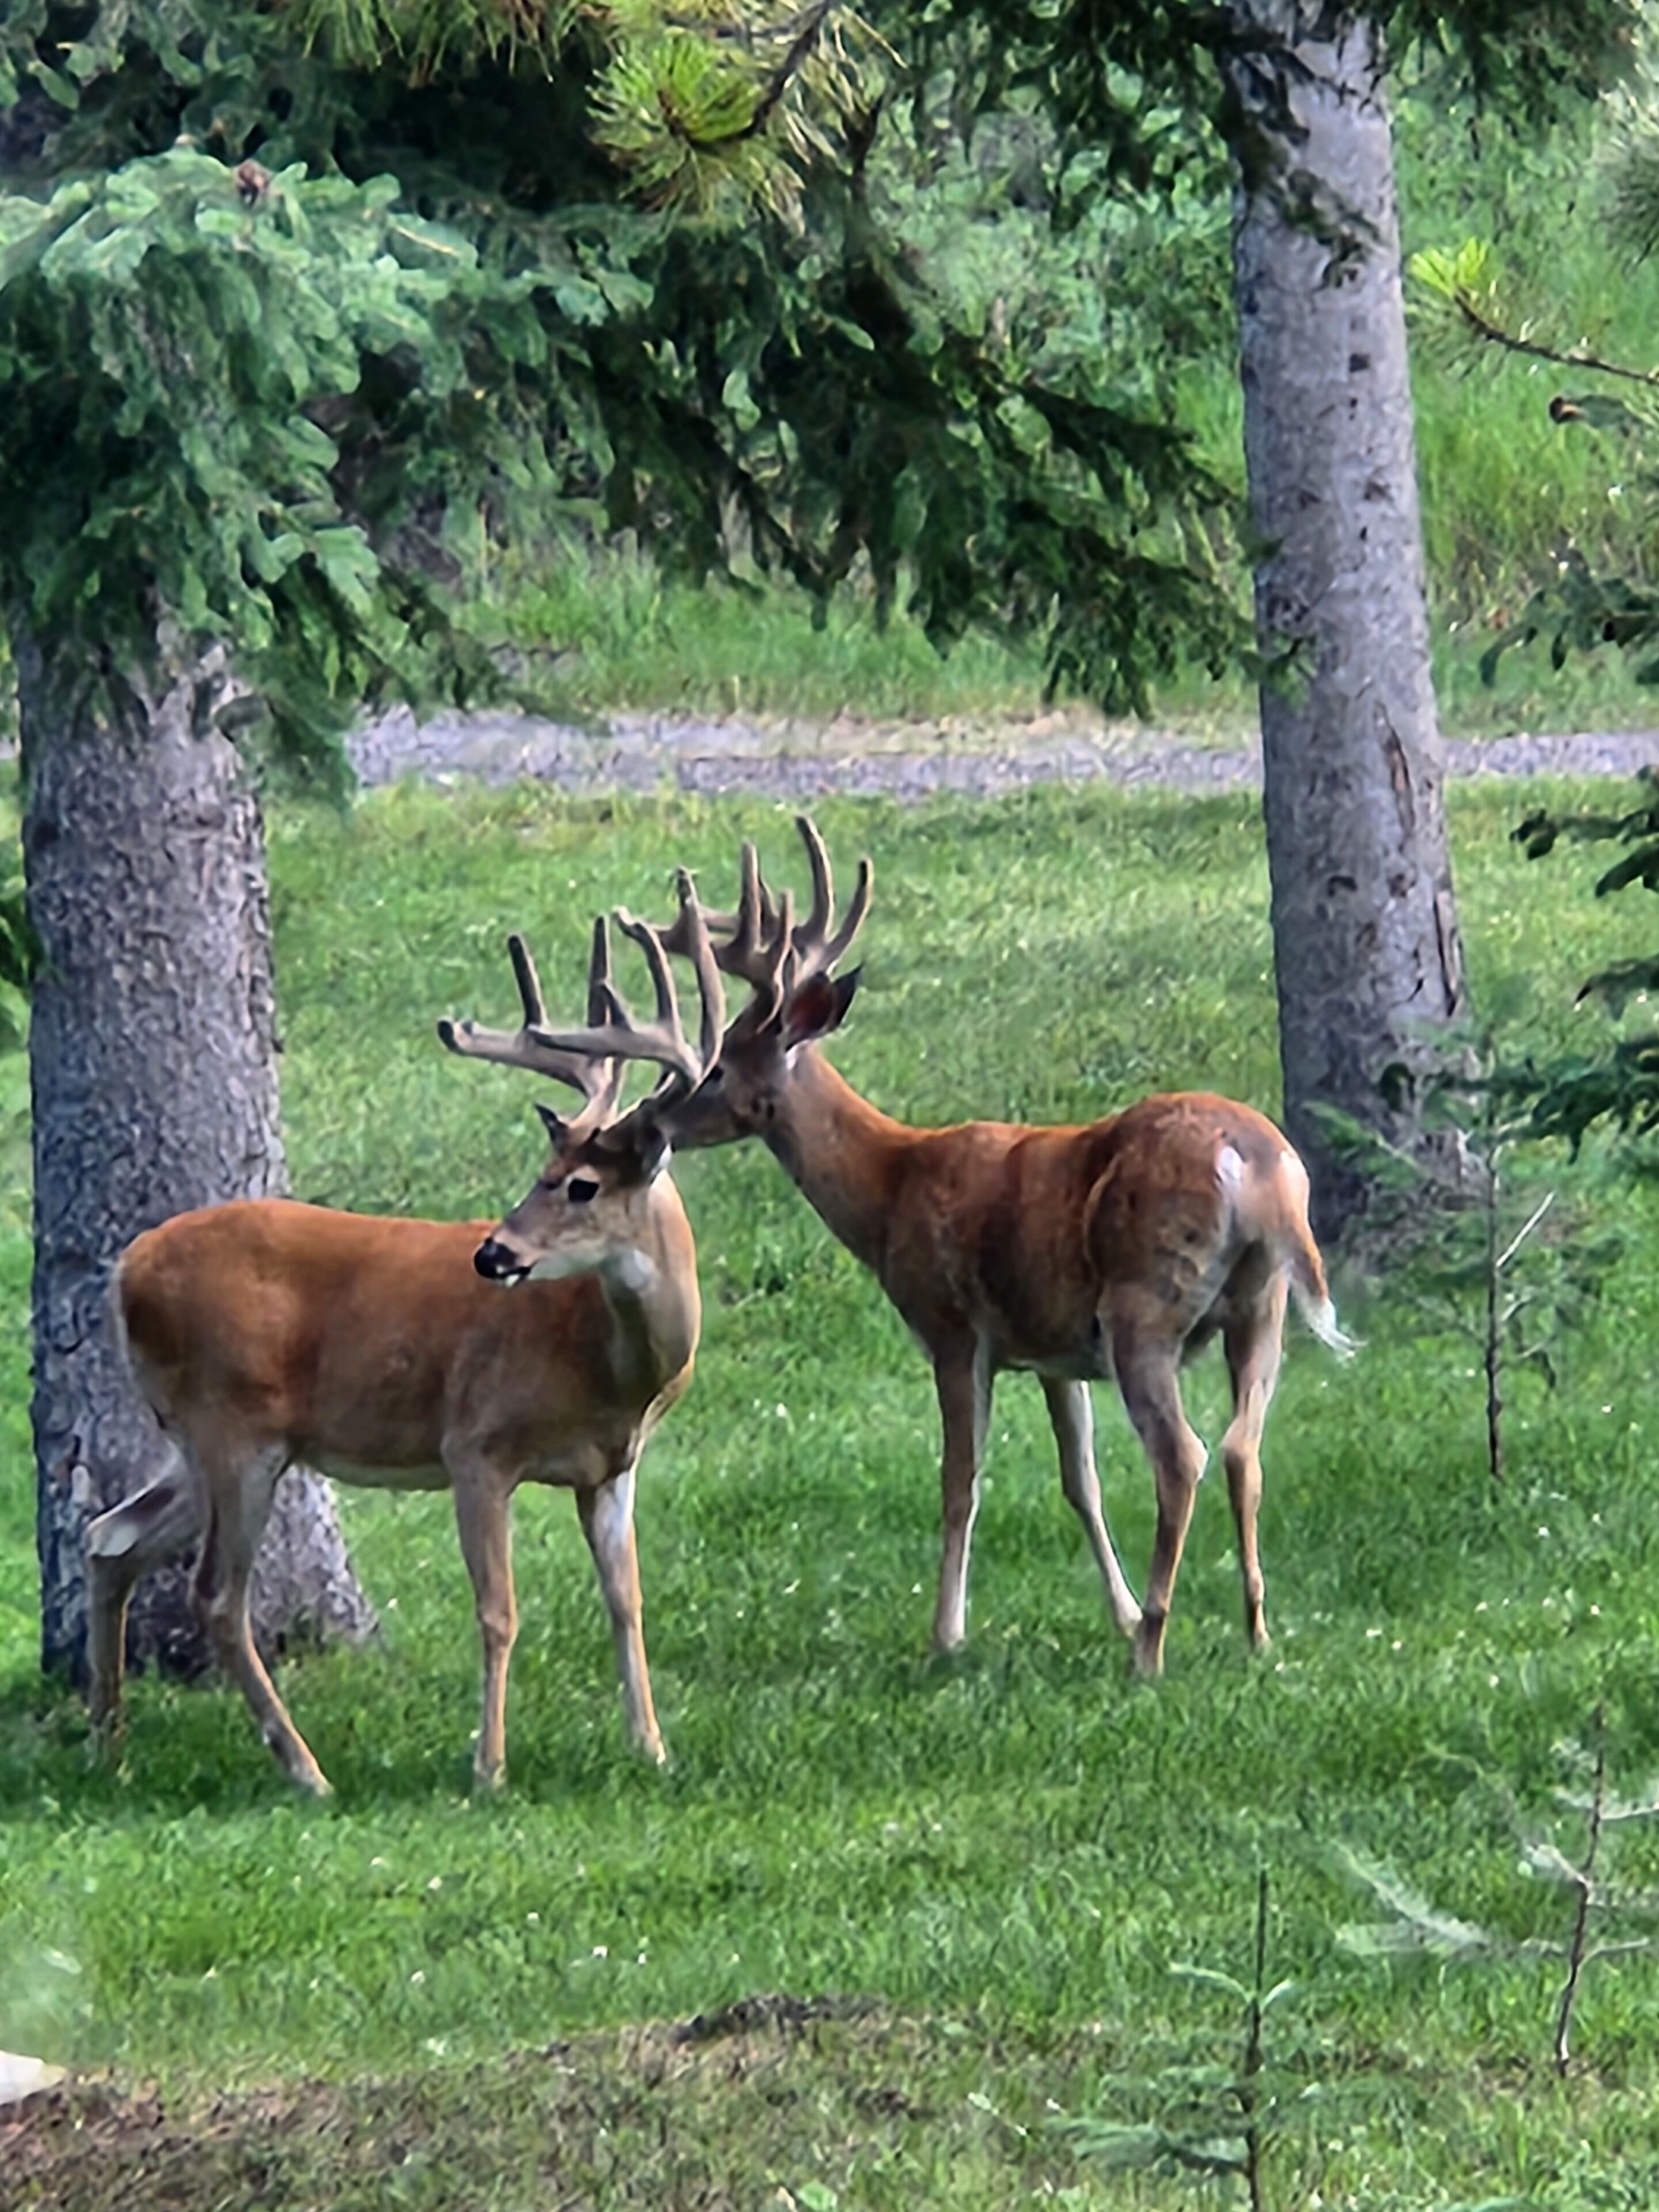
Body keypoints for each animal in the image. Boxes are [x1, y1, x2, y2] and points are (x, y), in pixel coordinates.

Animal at [83, 886, 725, 1796]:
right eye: (542, 1175)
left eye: (578, 1184)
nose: (493, 1254)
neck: (606, 1367)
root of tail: (125, 1269)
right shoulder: (476, 1445)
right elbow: (498, 1611)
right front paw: (489, 1768)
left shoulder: (611, 1469)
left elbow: (626, 1601)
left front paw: (652, 1750)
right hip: (232, 1426)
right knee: (215, 1595)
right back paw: (305, 1770)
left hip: (205, 1441)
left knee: (112, 1538)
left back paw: (111, 1748)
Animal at [623, 816, 1355, 1680]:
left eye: (714, 1069)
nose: (648, 1123)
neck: (889, 1189)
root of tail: (1256, 1162)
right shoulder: (1053, 1351)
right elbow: (1081, 1481)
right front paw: (1116, 1612)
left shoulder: (951, 1327)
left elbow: (960, 1482)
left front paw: (949, 1635)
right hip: (1259, 1302)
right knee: (1245, 1447)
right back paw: (1254, 1631)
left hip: (1146, 1302)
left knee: (1184, 1456)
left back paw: (1152, 1650)